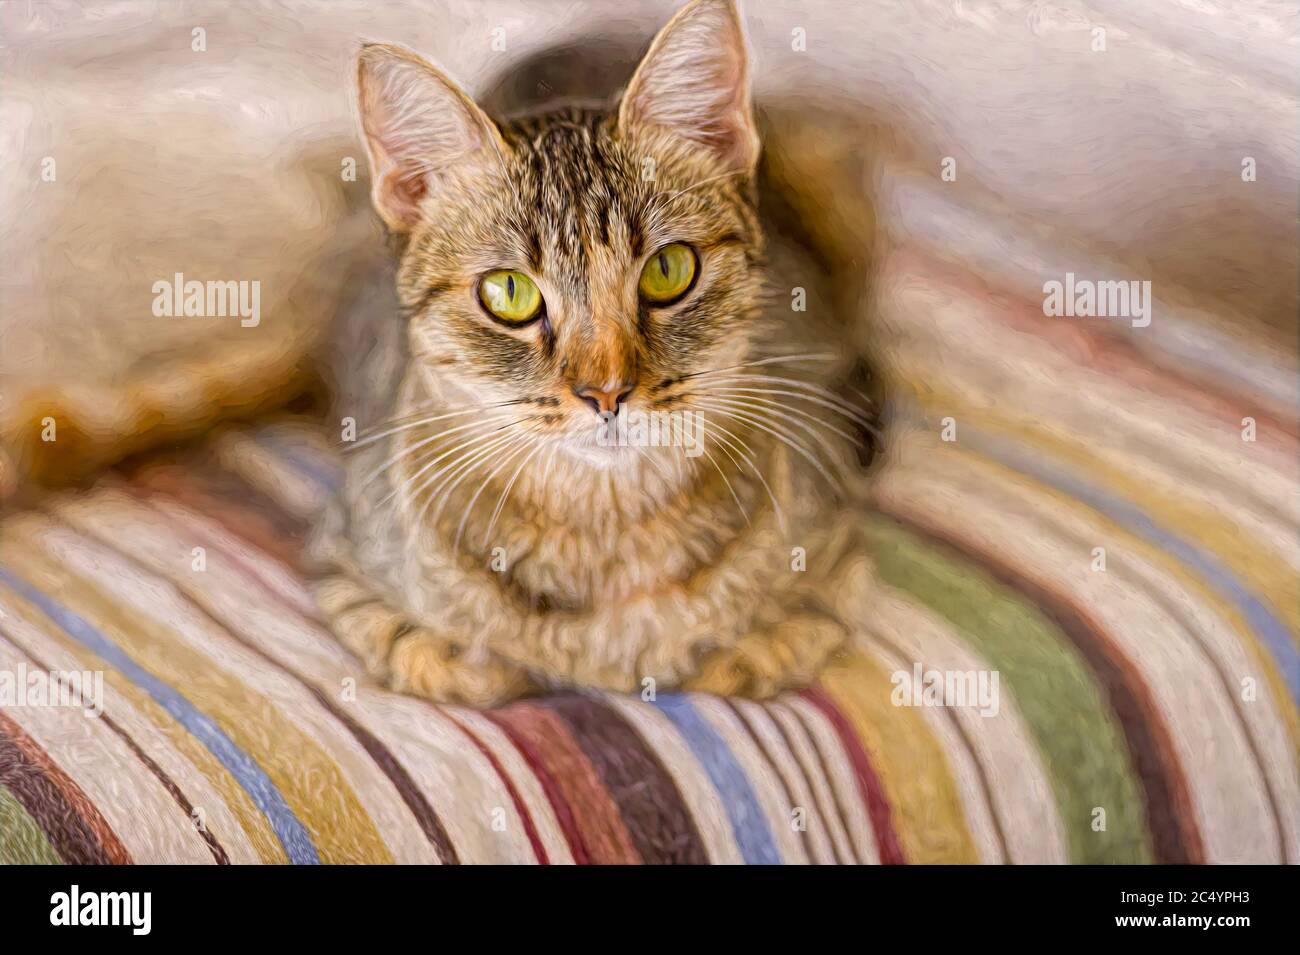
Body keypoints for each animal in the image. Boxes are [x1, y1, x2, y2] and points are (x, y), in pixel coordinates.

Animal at [312, 0, 883, 701]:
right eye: (509, 293)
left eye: (668, 269)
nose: (606, 391)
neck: (607, 533)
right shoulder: (343, 570)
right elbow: (468, 667)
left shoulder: (837, 567)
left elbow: (745, 657)